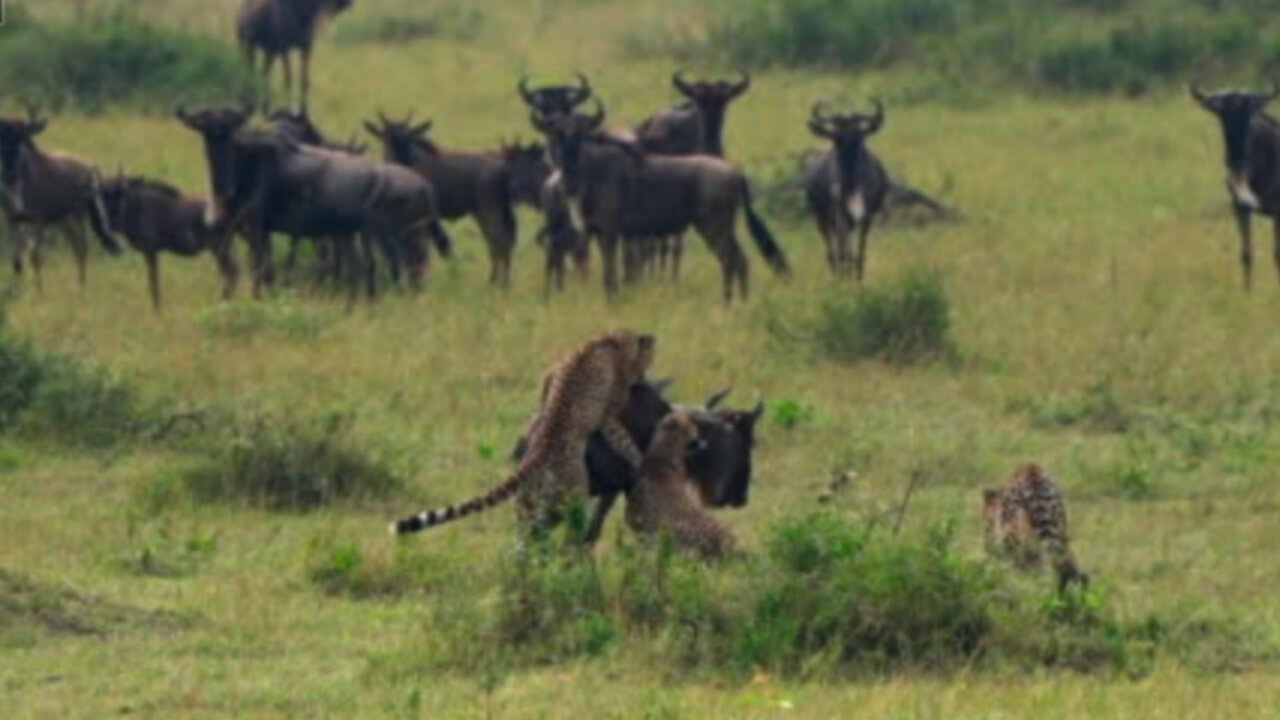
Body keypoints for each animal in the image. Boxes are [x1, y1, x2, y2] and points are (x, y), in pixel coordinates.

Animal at [389, 327, 655, 535]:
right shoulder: (608, 413)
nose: (642, 378)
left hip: (530, 502)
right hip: (575, 491)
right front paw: (639, 459)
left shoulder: (552, 373)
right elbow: (623, 439)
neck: (614, 338)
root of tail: (535, 456)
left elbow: (544, 394)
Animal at [977, 461, 1090, 591]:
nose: (987, 548)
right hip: (1060, 531)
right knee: (1067, 565)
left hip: (1019, 533)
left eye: (987, 526)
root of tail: (1032, 469)